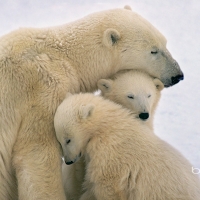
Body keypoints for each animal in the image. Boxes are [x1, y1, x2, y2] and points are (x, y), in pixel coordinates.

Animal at [0, 5, 184, 199]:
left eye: (165, 43)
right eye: (153, 51)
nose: (178, 75)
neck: (67, 57)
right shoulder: (43, 90)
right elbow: (37, 154)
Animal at [54, 94, 200, 200]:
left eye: (68, 140)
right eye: (59, 141)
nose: (68, 161)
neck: (106, 127)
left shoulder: (110, 154)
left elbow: (106, 185)